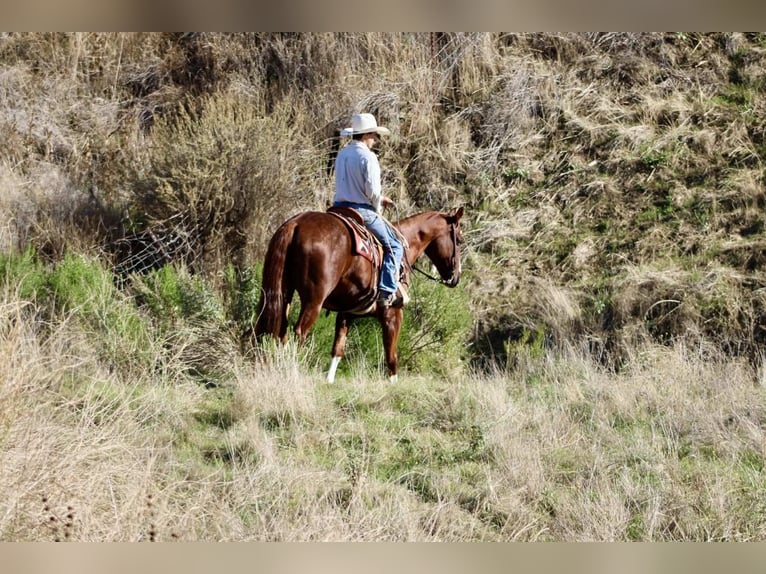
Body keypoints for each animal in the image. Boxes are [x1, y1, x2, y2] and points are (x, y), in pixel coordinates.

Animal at [251, 206, 464, 382]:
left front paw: (329, 381)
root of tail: (296, 223)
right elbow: (391, 356)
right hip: (313, 301)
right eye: (460, 241)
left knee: (275, 331)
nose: (455, 277)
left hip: (283, 295)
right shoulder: (393, 313)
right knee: (299, 333)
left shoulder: (346, 313)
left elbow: (338, 349)